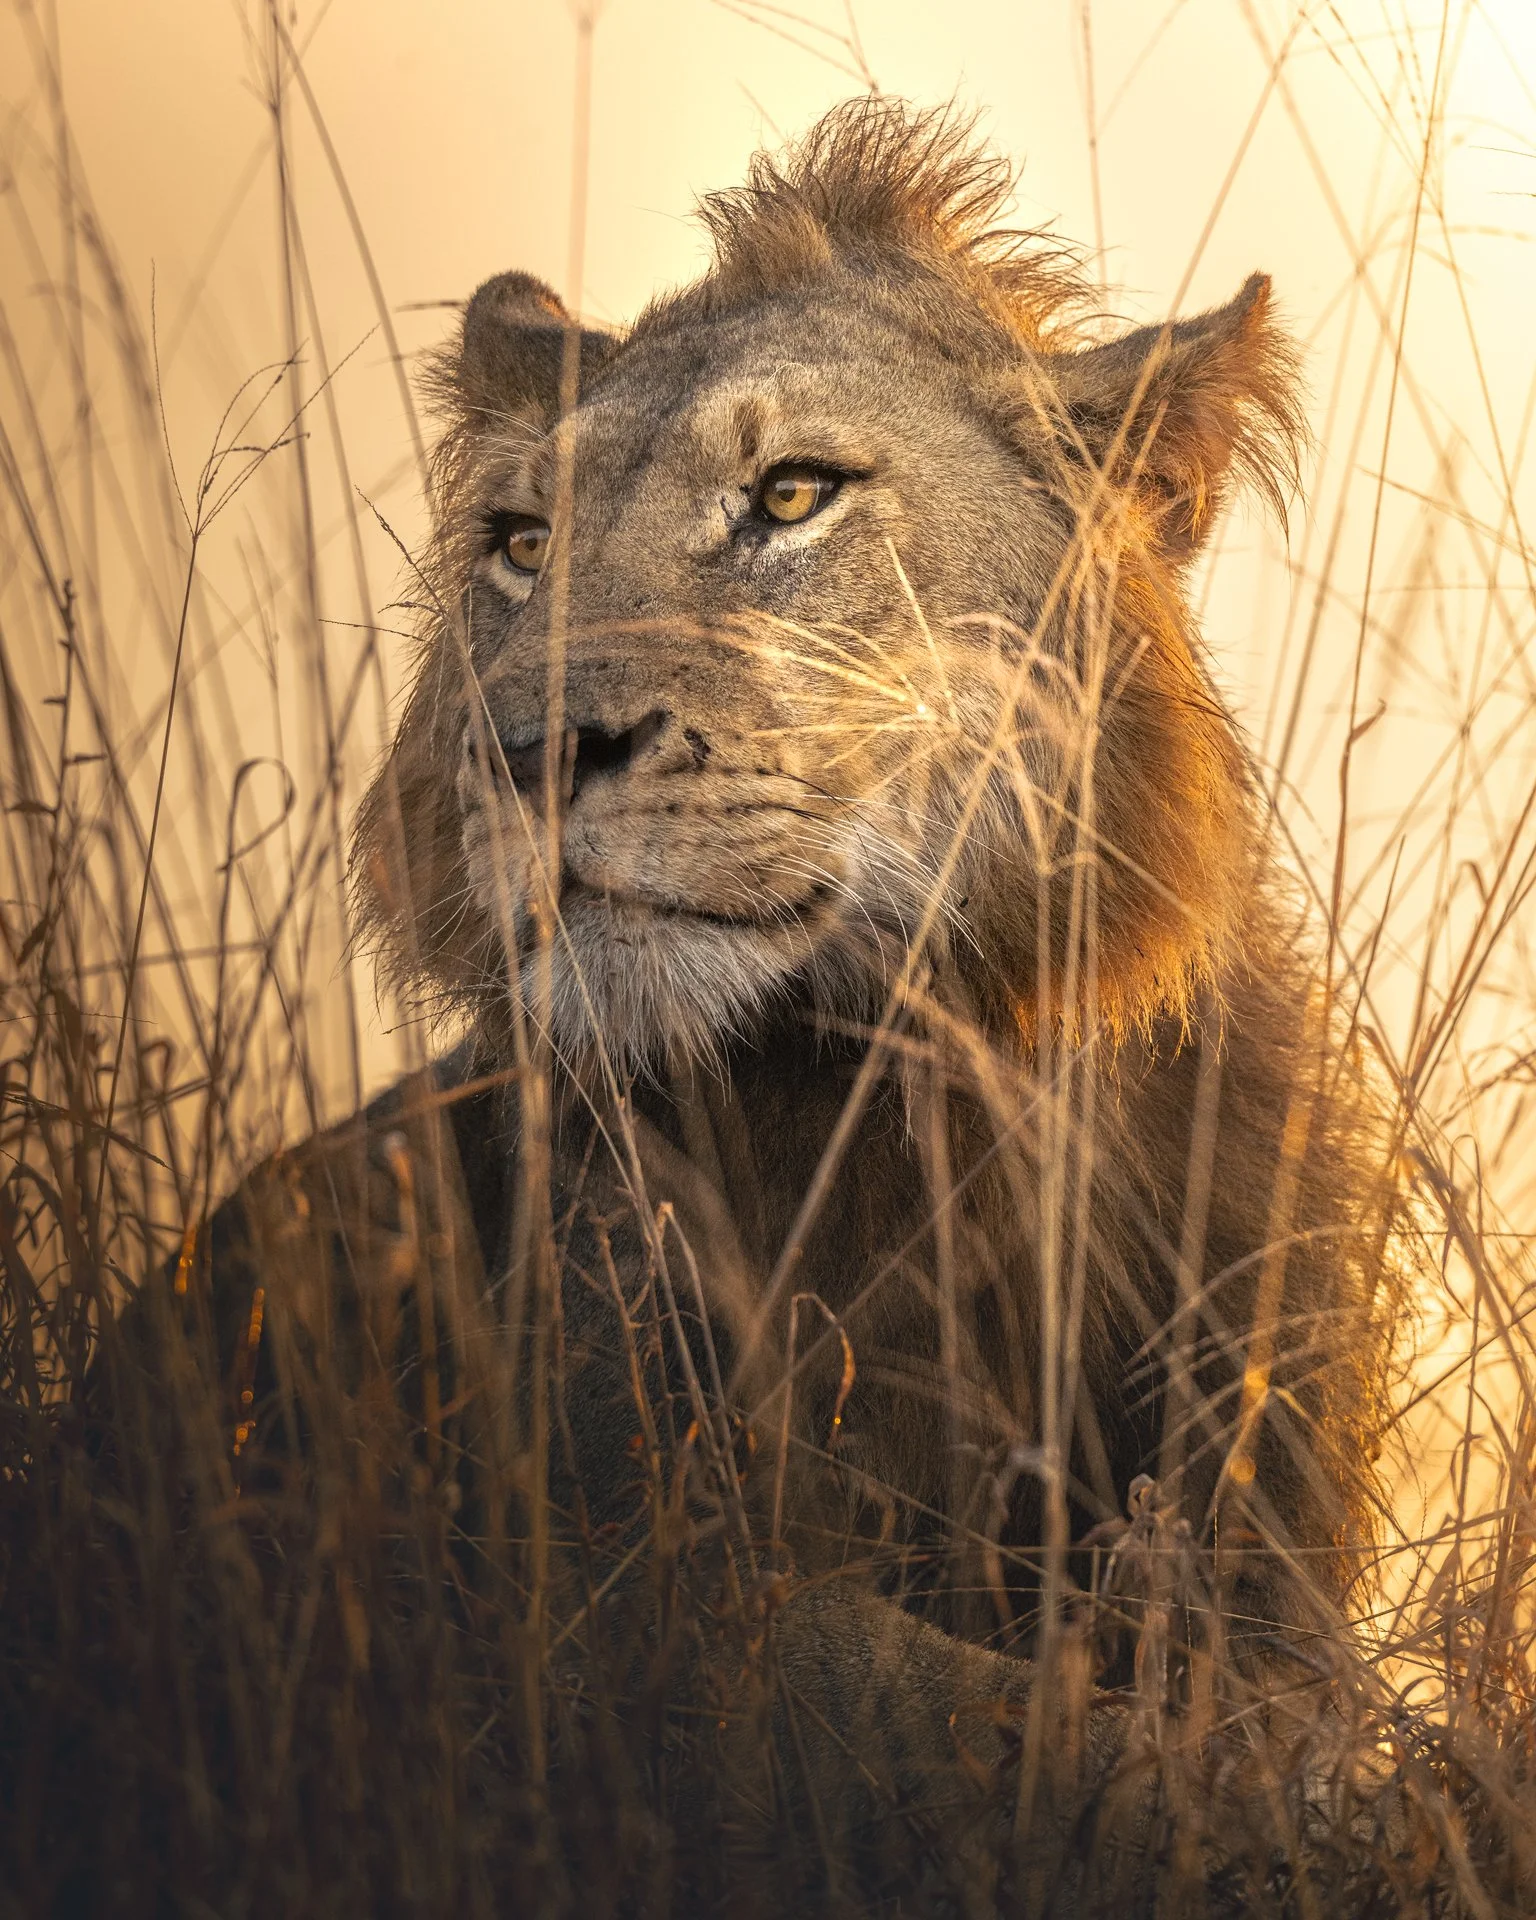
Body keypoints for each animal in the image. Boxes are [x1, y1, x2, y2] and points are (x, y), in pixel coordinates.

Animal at [124, 98, 1401, 1895]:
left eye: (792, 494)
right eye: (522, 545)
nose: (525, 753)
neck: (928, 1094)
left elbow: (1267, 1708)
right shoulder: (624, 1586)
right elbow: (946, 1711)